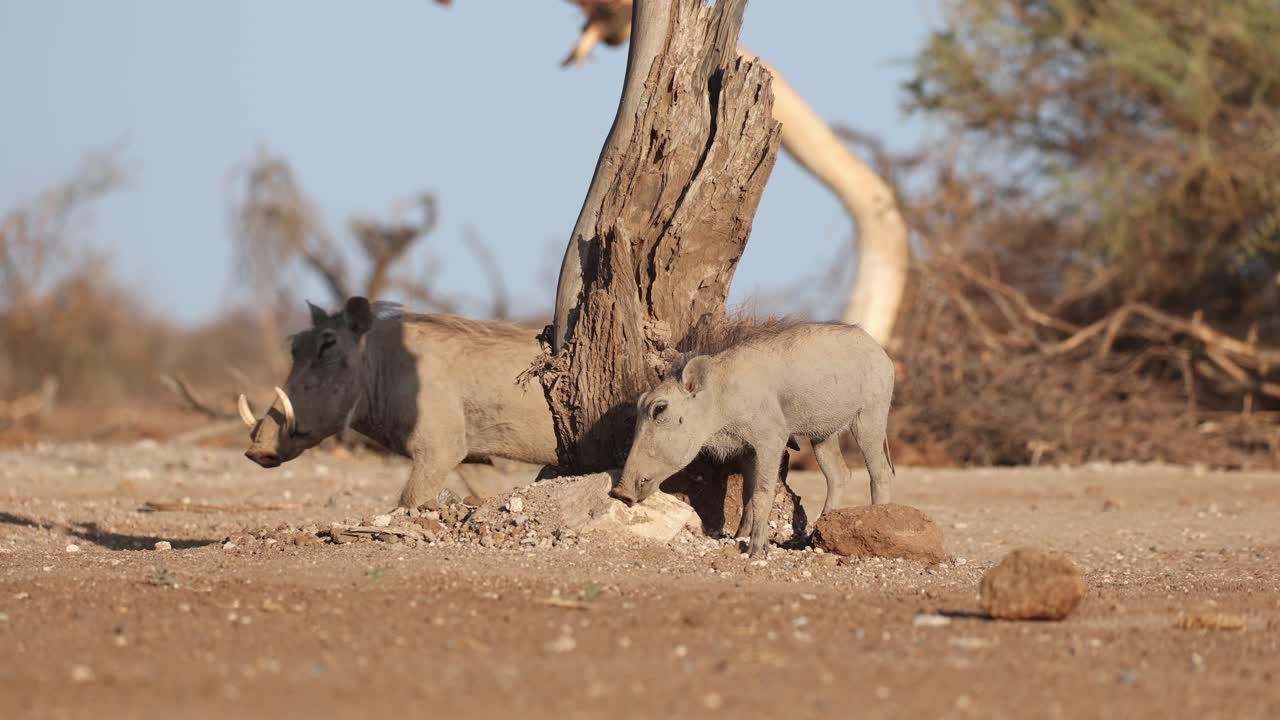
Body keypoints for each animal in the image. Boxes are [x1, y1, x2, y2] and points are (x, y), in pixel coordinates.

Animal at [239, 296, 559, 508]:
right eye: (295, 347)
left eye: (328, 345)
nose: (258, 450)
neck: (384, 364)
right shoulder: (471, 455)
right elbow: (485, 491)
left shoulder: (439, 449)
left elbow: (411, 499)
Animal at [611, 320, 895, 558]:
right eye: (640, 402)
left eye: (660, 409)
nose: (620, 493)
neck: (719, 396)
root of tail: (881, 353)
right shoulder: (748, 450)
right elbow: (747, 495)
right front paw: (739, 536)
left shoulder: (771, 440)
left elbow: (761, 494)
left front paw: (756, 550)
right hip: (823, 435)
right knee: (839, 475)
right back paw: (815, 538)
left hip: (869, 418)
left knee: (880, 473)